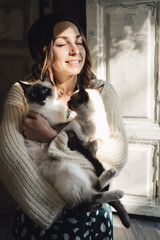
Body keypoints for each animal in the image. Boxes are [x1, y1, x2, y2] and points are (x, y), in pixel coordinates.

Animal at [18, 77, 124, 212]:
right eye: (33, 94)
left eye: (45, 90)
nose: (42, 98)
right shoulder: (57, 126)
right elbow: (73, 123)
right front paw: (83, 137)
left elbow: (87, 135)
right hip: (71, 171)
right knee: (91, 197)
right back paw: (117, 192)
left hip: (83, 172)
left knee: (95, 190)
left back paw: (111, 175)